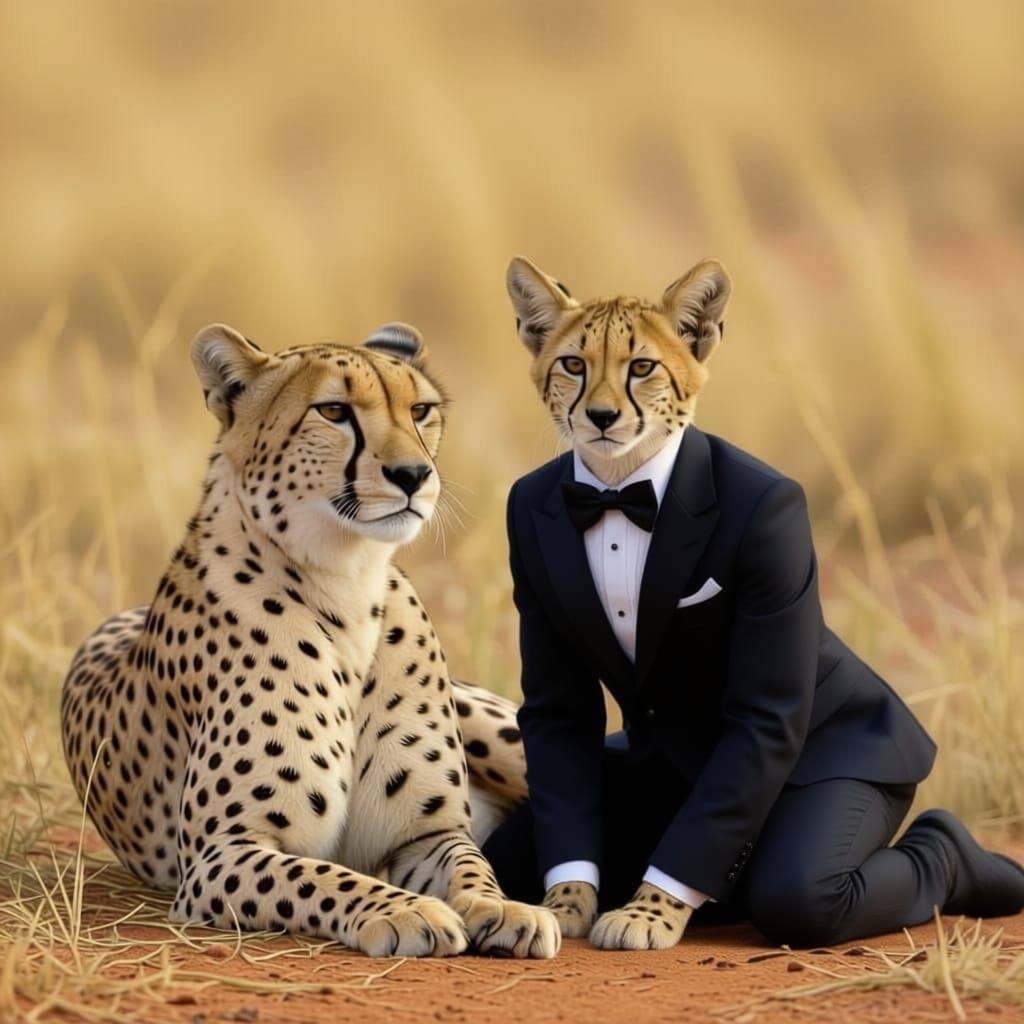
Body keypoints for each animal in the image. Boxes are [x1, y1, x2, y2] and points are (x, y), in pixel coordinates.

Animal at [61, 320, 558, 959]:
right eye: (334, 411)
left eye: (420, 410)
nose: (413, 476)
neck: (348, 584)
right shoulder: (220, 856)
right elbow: (325, 876)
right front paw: (405, 910)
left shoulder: (427, 835)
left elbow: (473, 864)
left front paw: (501, 907)